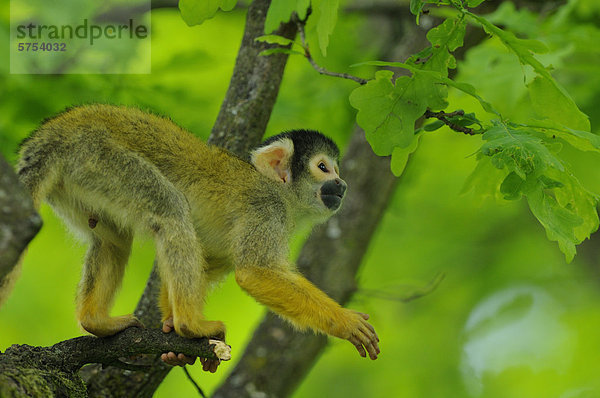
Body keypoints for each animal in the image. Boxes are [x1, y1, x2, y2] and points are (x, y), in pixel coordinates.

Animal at [8, 105, 380, 364]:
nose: (342, 184)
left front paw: (173, 339)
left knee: (114, 238)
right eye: (323, 168)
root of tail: (54, 132)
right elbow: (254, 272)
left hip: (79, 180)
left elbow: (207, 263)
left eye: (335, 169)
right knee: (170, 210)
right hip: (99, 158)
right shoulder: (266, 210)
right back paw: (191, 325)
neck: (283, 195)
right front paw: (346, 321)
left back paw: (96, 321)